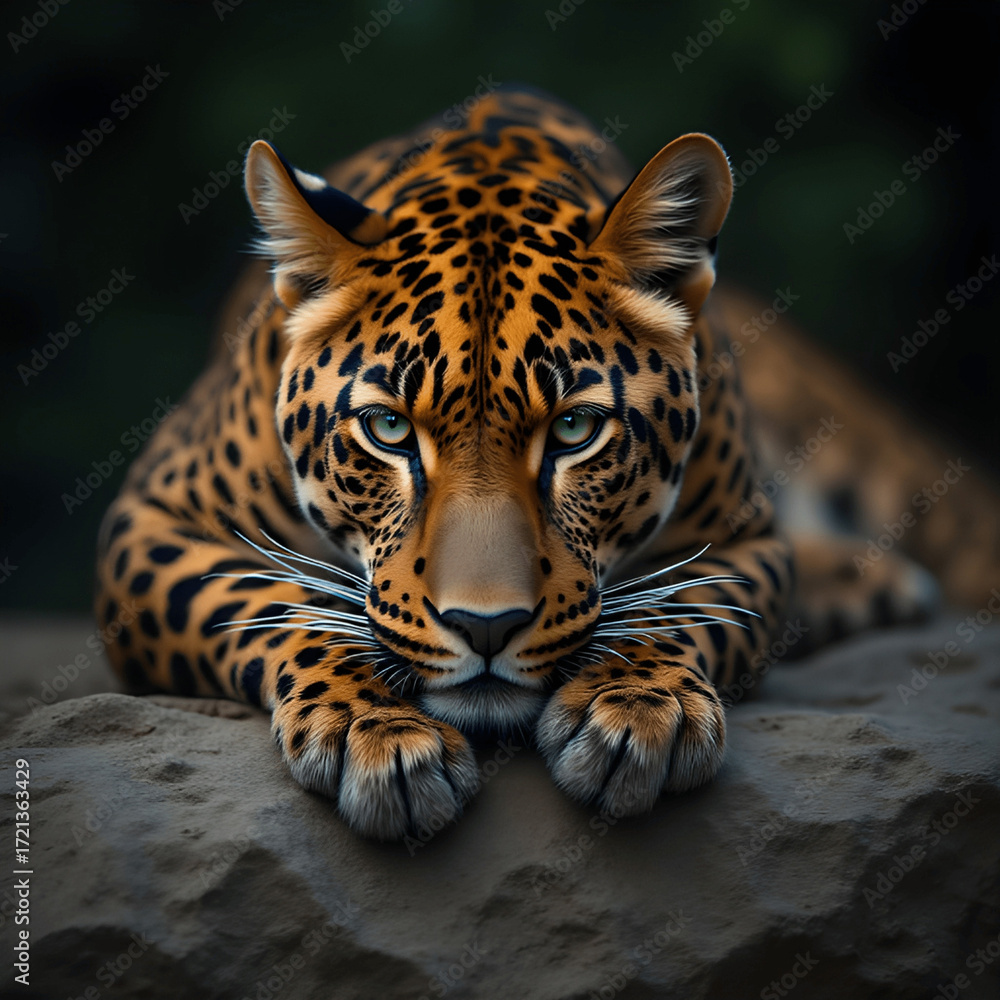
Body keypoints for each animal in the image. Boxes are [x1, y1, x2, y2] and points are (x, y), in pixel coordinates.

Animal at [94, 85, 998, 840]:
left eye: (574, 430)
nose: (485, 626)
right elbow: (276, 603)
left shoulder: (748, 540)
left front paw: (639, 711)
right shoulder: (151, 519)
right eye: (388, 428)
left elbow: (686, 605)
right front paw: (375, 734)